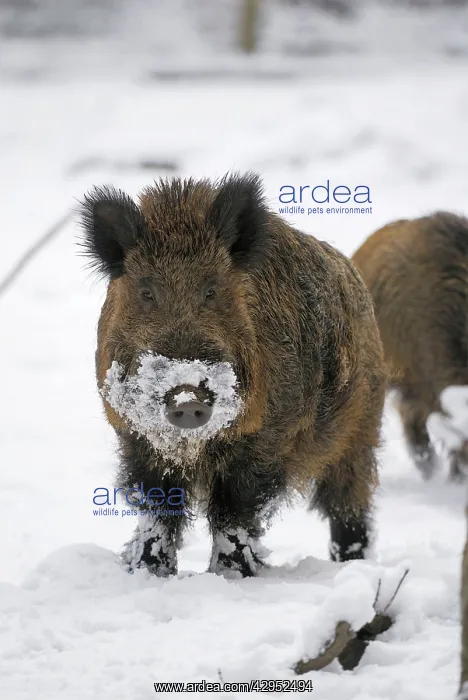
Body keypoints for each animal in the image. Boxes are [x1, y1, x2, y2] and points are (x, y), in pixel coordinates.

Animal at [78, 173, 385, 578]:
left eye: (212, 290)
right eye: (146, 291)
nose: (187, 396)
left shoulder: (266, 439)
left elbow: (233, 512)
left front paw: (231, 575)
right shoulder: (135, 437)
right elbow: (158, 508)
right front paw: (147, 570)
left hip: (360, 430)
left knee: (348, 503)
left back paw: (351, 565)